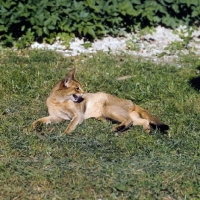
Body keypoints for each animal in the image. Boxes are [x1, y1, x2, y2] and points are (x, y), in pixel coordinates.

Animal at [32, 69, 169, 134]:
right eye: (77, 88)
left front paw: (64, 134)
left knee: (128, 121)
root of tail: (132, 102)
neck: (58, 101)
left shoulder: (77, 116)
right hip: (131, 118)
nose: (83, 93)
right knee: (143, 121)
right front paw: (33, 126)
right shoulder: (58, 117)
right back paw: (146, 130)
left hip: (108, 109)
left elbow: (70, 126)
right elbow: (41, 119)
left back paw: (117, 129)